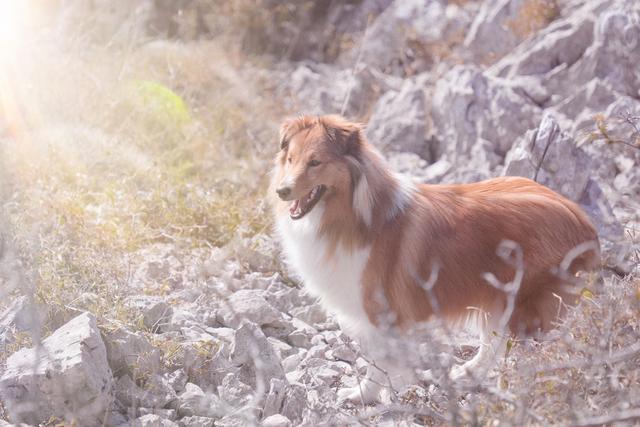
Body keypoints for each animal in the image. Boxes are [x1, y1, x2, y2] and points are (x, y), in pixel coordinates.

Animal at [270, 114, 600, 404]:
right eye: (291, 159)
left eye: (316, 162)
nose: (281, 191)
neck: (354, 214)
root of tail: (582, 219)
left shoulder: (381, 315)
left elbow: (378, 364)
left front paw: (363, 395)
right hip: (499, 298)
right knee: (492, 343)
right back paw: (465, 374)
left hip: (527, 304)